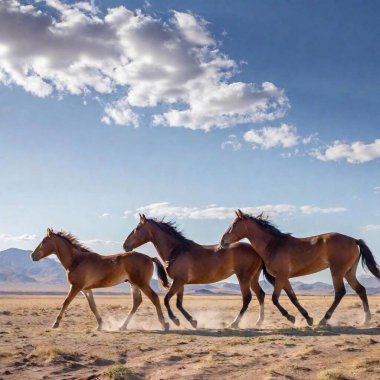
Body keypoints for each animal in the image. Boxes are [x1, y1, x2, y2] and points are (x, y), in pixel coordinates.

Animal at [30, 229, 170, 330]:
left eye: (43, 241)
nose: (32, 255)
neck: (76, 261)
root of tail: (149, 258)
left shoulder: (75, 287)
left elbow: (66, 302)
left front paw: (55, 323)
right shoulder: (86, 289)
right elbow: (92, 306)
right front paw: (100, 325)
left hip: (142, 283)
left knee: (154, 298)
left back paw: (164, 324)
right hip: (134, 284)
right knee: (137, 302)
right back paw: (123, 326)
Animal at [123, 214, 266, 330]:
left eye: (137, 228)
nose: (125, 245)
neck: (177, 250)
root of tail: (255, 251)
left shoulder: (179, 281)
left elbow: (166, 300)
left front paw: (175, 321)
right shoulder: (180, 283)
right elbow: (178, 304)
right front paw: (193, 321)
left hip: (243, 277)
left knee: (247, 298)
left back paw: (234, 323)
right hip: (253, 278)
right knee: (260, 295)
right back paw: (259, 322)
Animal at [220, 209, 380, 326]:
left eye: (235, 223)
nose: (222, 241)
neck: (273, 245)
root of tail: (354, 240)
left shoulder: (281, 276)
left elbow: (275, 299)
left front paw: (291, 318)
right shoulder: (284, 278)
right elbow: (293, 297)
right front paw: (308, 318)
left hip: (337, 271)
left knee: (340, 292)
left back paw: (324, 320)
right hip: (348, 272)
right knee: (361, 290)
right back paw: (365, 321)